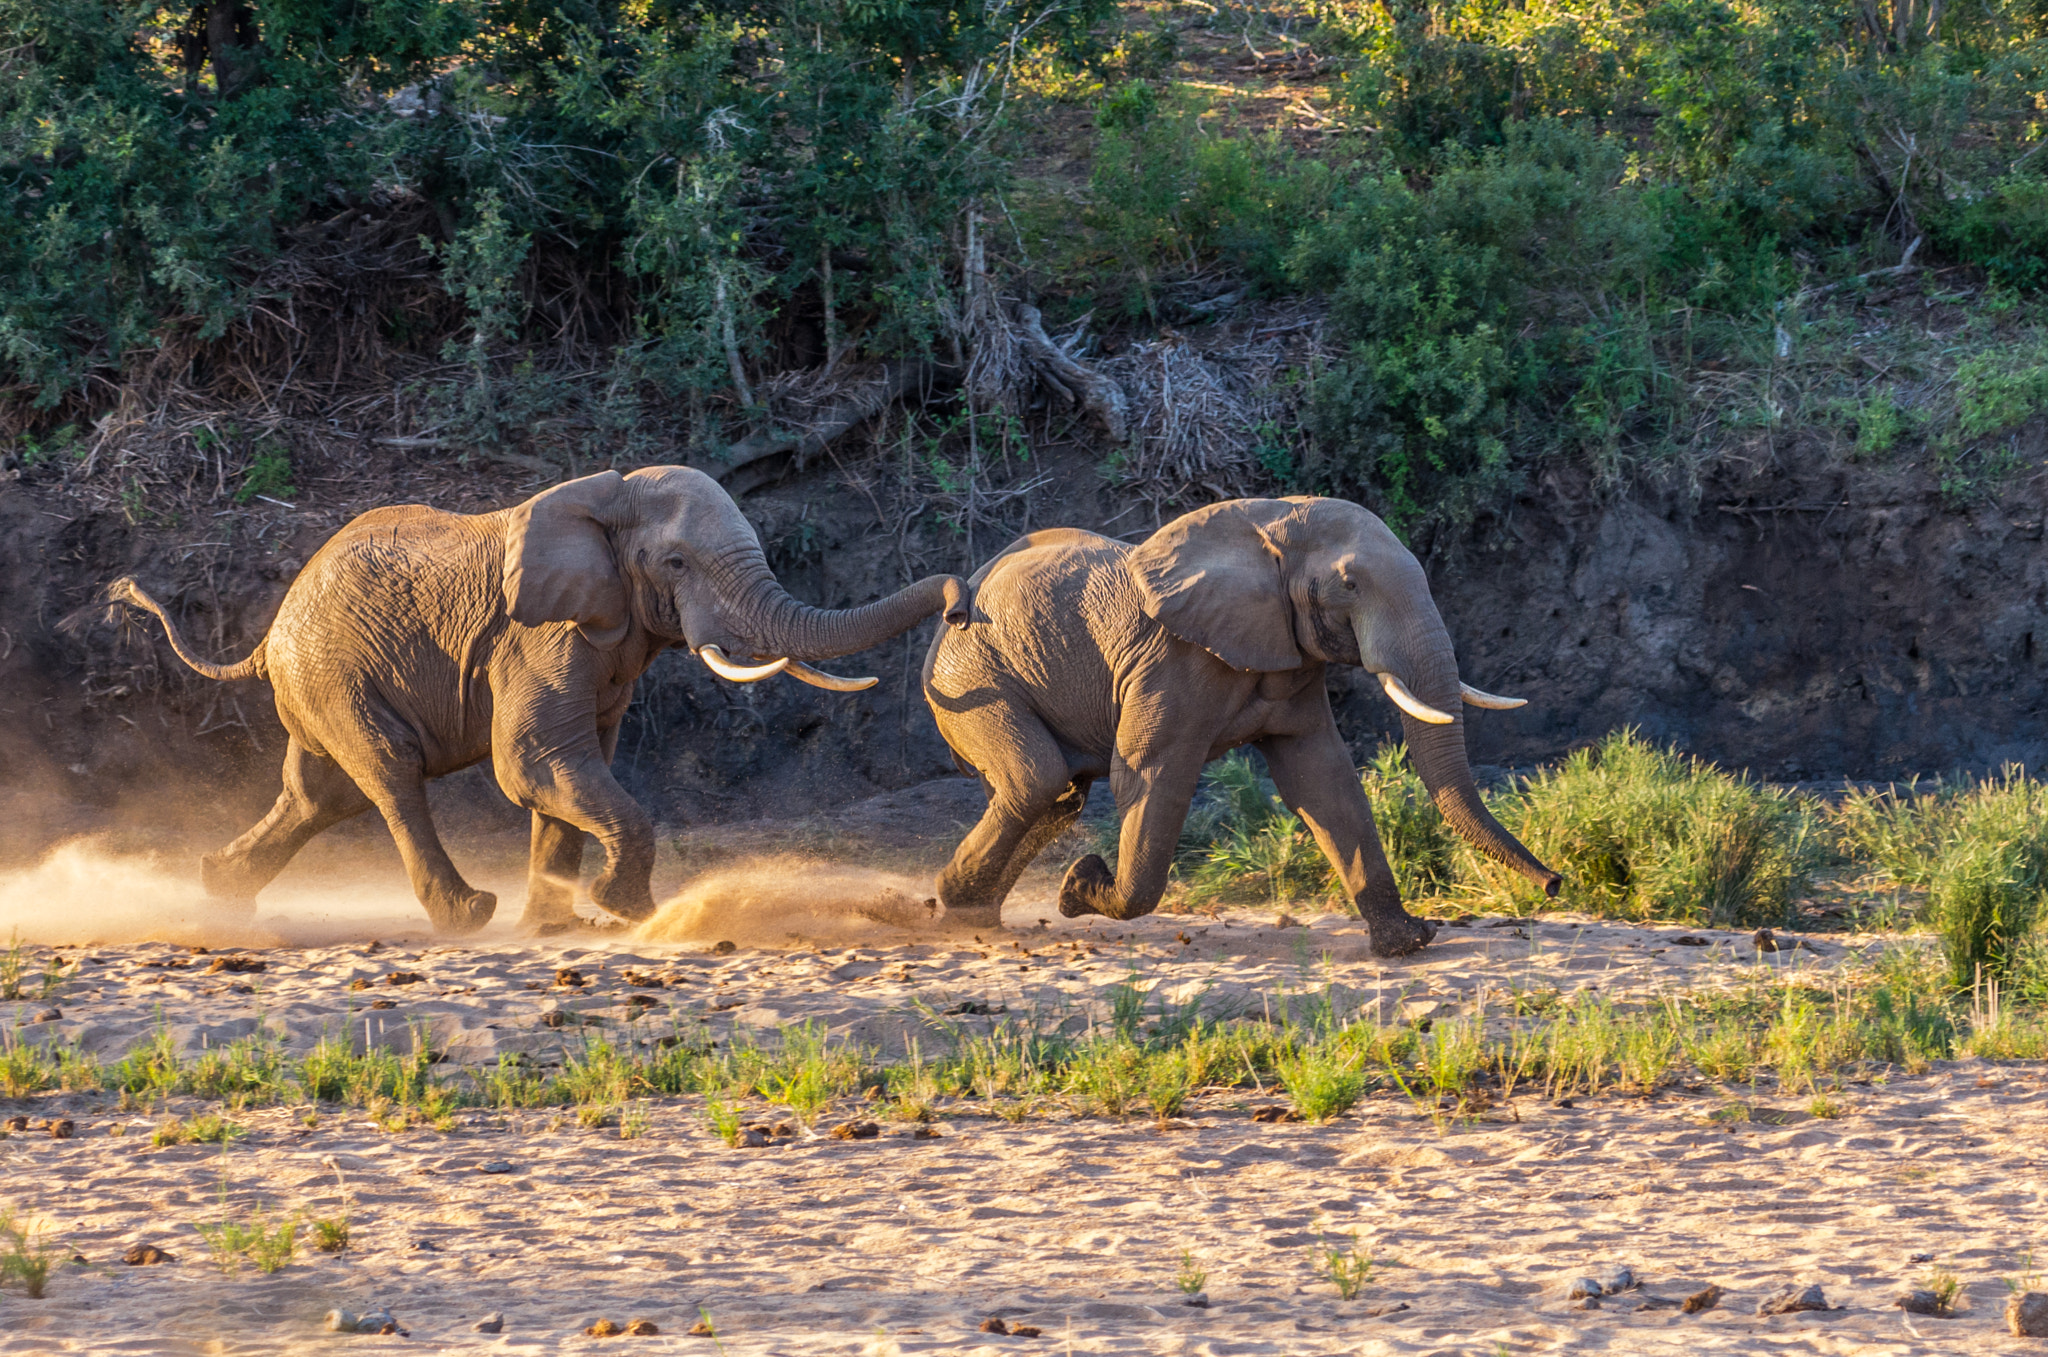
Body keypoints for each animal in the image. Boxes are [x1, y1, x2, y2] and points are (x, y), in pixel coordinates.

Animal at [112, 465, 968, 935]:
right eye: (677, 563)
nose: (961, 605)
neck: (604, 501)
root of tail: (269, 634)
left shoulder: (608, 639)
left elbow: (570, 765)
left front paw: (557, 924)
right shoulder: (541, 635)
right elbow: (534, 760)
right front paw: (624, 908)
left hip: (326, 682)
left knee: (320, 793)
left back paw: (220, 891)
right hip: (335, 672)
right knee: (389, 775)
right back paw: (466, 915)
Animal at [921, 496, 1559, 956]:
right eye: (1350, 584)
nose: (1554, 883)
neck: (1271, 524)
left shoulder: (1292, 656)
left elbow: (1322, 780)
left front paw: (1409, 943)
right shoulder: (1171, 662)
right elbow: (1151, 778)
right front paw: (1079, 885)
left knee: (1054, 797)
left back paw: (974, 915)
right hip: (972, 678)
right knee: (1038, 780)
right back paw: (956, 907)